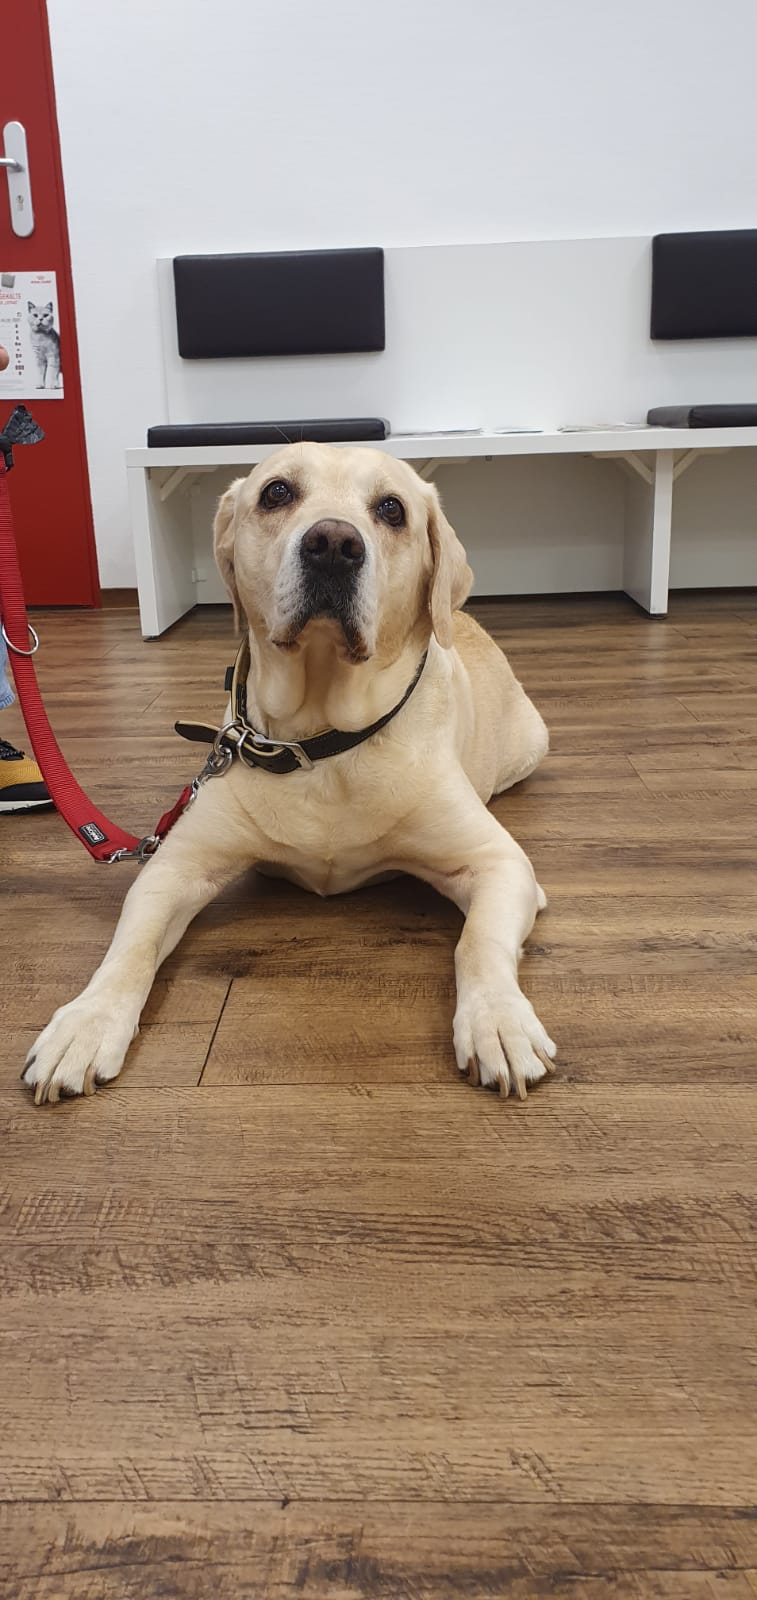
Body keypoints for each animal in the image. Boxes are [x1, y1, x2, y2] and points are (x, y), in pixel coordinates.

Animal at [23, 443, 555, 1105]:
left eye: (392, 509)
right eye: (277, 492)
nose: (333, 544)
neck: (319, 742)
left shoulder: (498, 864)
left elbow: (477, 942)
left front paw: (499, 1021)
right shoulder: (174, 868)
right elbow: (130, 947)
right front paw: (86, 1024)